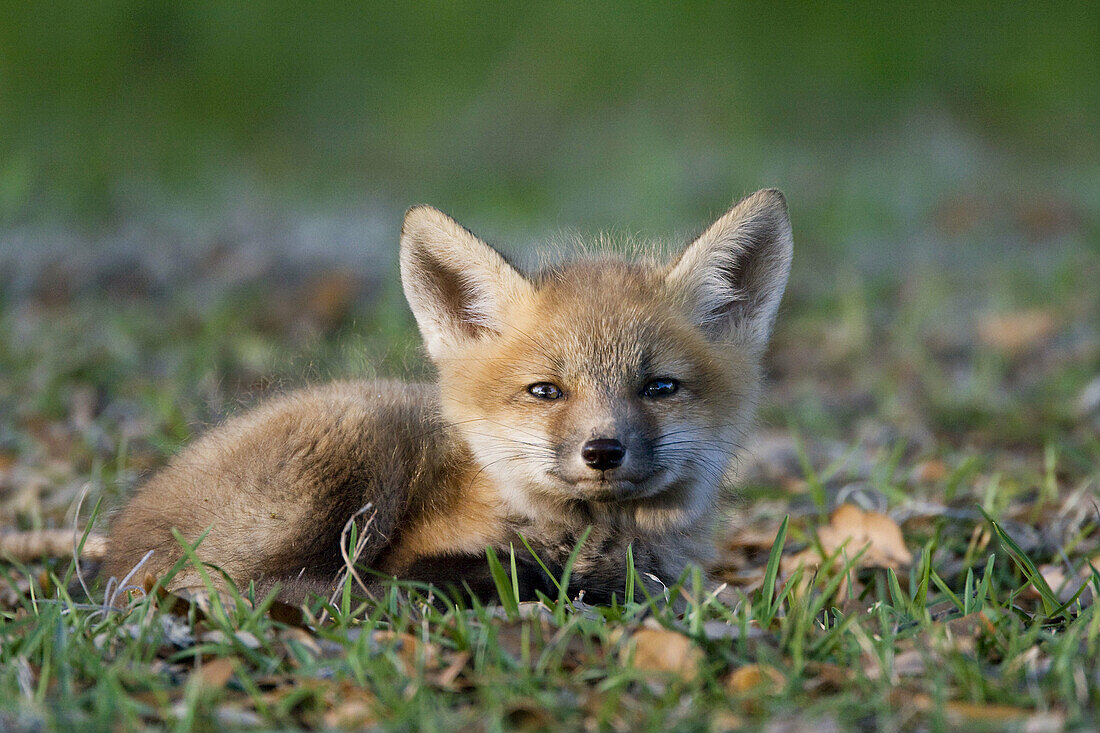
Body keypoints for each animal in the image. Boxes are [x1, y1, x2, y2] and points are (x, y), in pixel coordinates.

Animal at [101, 188, 792, 603]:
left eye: (659, 387)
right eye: (546, 391)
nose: (603, 451)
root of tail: (112, 555)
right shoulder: (419, 551)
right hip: (355, 449)